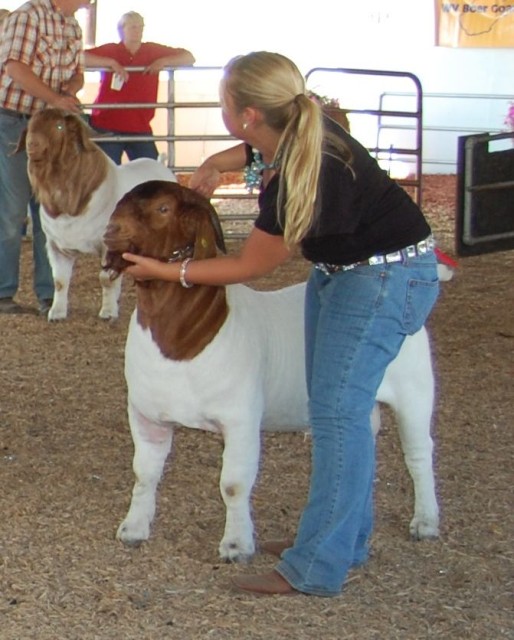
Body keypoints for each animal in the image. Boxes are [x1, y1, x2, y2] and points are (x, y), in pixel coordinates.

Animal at [16, 110, 176, 322]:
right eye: (30, 125)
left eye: (60, 126)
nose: (32, 144)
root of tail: (160, 164)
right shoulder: (56, 245)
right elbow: (60, 281)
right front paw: (56, 313)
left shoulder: (108, 244)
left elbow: (105, 279)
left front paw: (107, 312)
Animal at [104, 179, 440, 560]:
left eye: (163, 208)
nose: (110, 231)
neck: (179, 342)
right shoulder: (146, 415)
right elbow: (144, 473)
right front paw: (134, 528)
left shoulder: (241, 420)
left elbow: (233, 485)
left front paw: (236, 545)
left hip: (414, 389)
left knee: (418, 452)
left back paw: (425, 521)